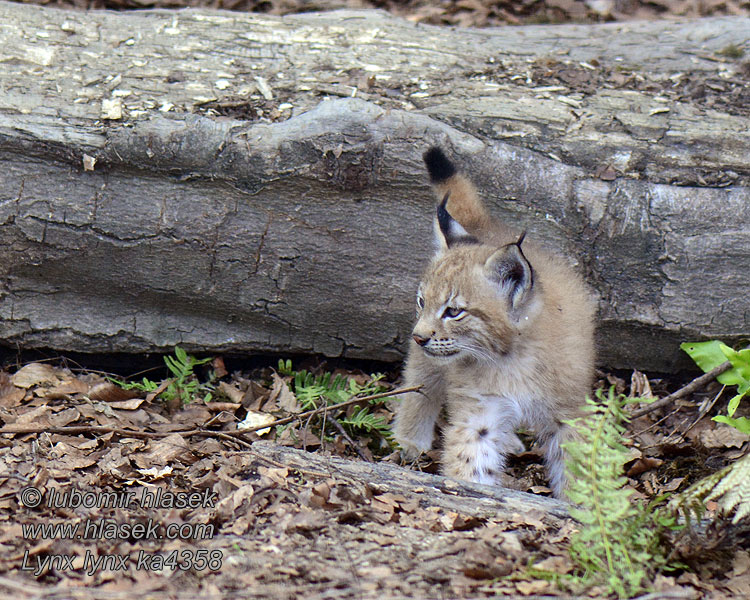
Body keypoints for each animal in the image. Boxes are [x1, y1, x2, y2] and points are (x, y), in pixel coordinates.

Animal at [396, 148, 596, 500]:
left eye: (453, 312)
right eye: (423, 302)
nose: (419, 336)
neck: (513, 356)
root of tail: (487, 228)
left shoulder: (569, 410)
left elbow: (576, 465)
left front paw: (583, 505)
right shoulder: (480, 412)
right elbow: (472, 458)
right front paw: (469, 491)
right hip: (428, 363)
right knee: (421, 384)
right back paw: (410, 440)